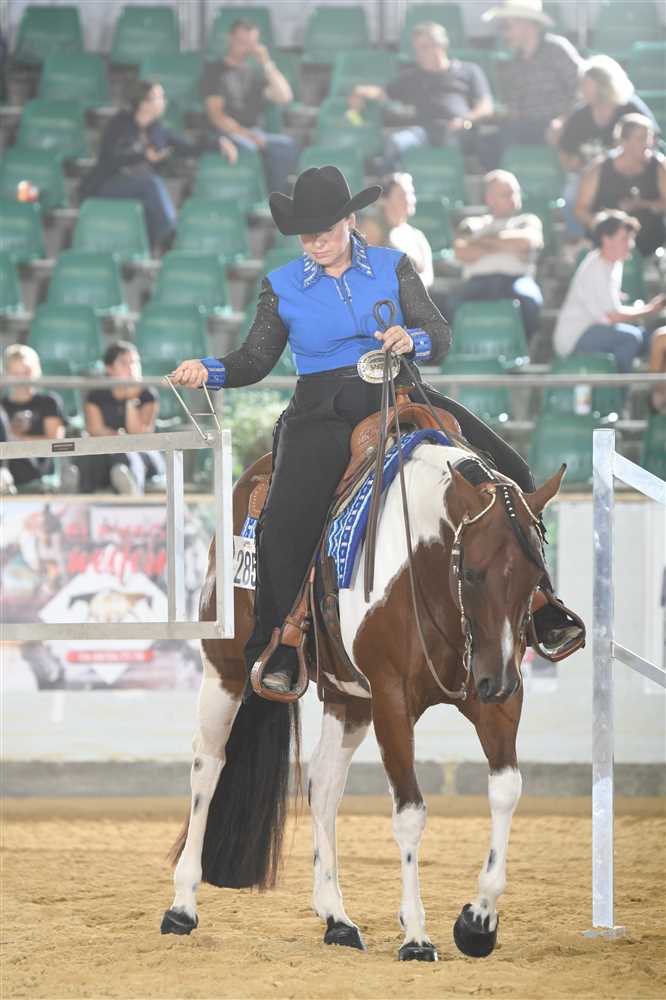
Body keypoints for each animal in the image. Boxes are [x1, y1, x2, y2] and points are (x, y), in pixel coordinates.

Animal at [161, 440, 566, 960]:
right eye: (473, 574)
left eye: (536, 575)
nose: (498, 681)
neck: (425, 567)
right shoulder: (392, 700)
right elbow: (410, 812)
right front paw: (416, 935)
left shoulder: (495, 700)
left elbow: (506, 791)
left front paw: (478, 922)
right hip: (226, 672)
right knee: (208, 767)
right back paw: (182, 906)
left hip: (347, 697)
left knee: (323, 785)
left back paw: (337, 918)